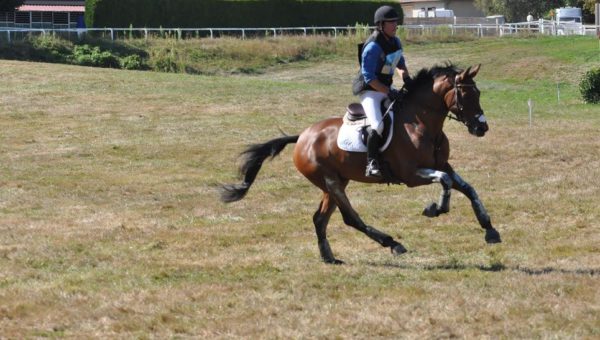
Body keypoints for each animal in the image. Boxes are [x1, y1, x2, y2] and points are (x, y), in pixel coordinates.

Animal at [220, 64, 502, 266]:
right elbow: (444, 181)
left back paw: (329, 258)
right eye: (465, 94)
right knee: (350, 218)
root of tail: (302, 137)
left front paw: (489, 229)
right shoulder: (411, 175)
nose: (482, 127)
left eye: (478, 93)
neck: (423, 123)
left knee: (320, 219)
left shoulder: (444, 164)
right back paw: (392, 243)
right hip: (331, 182)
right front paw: (436, 208)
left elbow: (467, 187)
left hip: (336, 182)